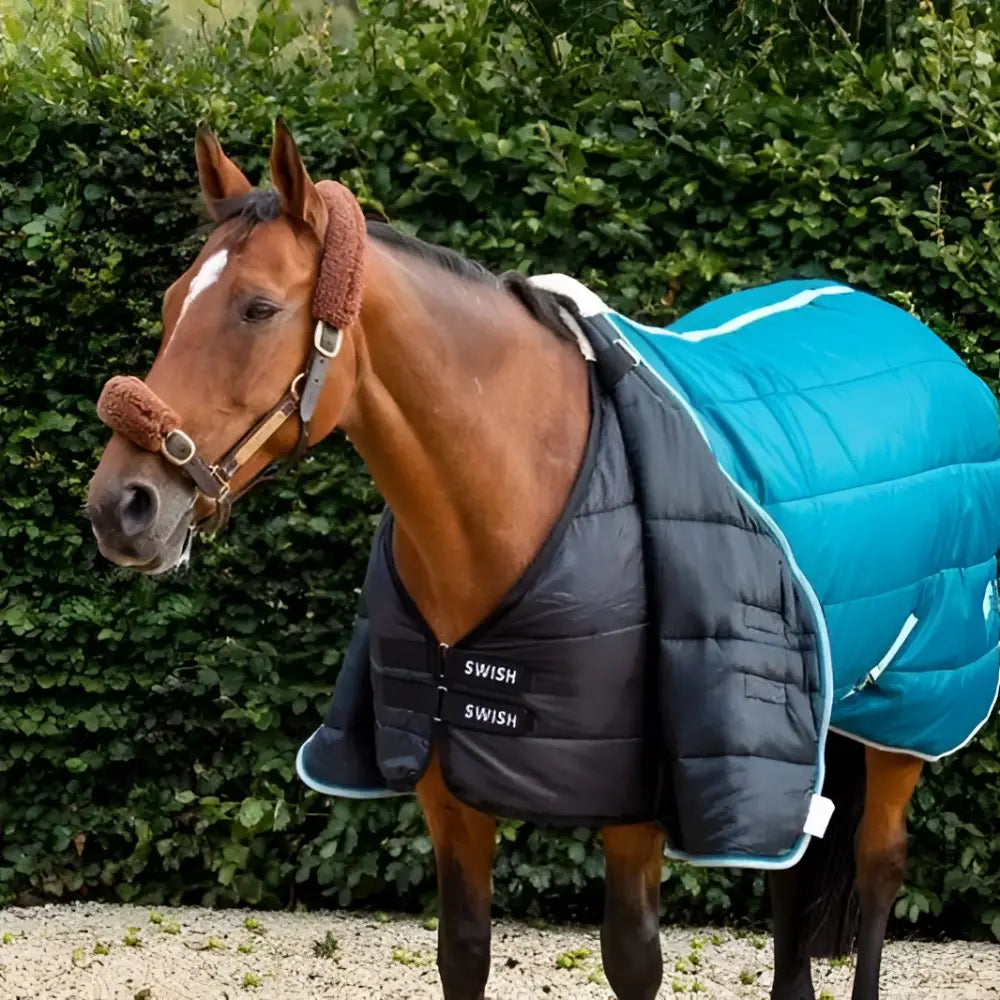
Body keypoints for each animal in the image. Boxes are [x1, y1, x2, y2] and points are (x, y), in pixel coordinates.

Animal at [86, 119, 945, 1000]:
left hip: (908, 716)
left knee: (878, 864)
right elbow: (463, 951)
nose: (122, 506)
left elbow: (632, 960)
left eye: (258, 308)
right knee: (793, 867)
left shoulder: (631, 804)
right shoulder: (447, 787)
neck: (527, 491)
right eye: (171, 305)